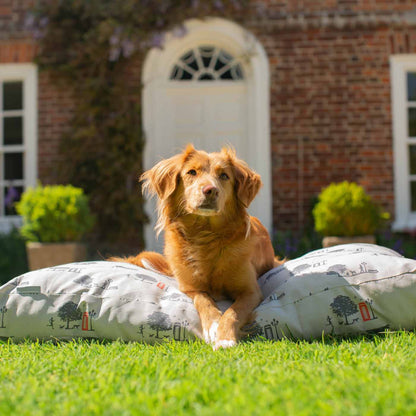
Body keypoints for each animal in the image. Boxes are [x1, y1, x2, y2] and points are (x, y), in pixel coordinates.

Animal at [112, 145, 282, 350]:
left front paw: (225, 338)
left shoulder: (251, 291)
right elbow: (204, 300)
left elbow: (233, 312)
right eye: (192, 172)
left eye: (224, 175)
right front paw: (214, 325)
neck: (205, 236)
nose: (210, 190)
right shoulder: (190, 288)